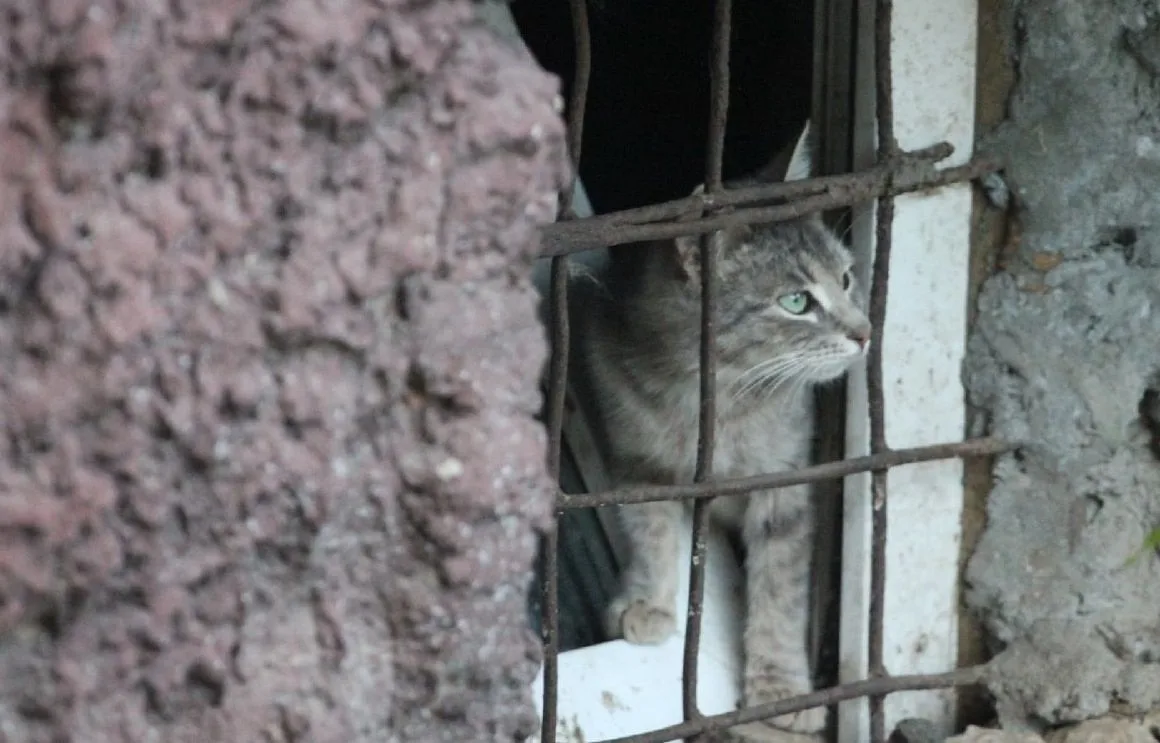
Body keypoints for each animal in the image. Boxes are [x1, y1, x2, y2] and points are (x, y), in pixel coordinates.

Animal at [567, 122, 871, 739]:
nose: (865, 332)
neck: (718, 405)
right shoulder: (637, 460)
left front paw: (781, 688)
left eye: (847, 278)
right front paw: (648, 601)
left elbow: (780, 586)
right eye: (797, 301)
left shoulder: (784, 480)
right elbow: (650, 531)